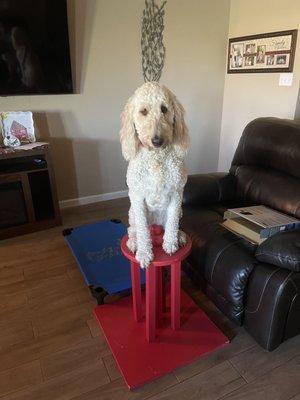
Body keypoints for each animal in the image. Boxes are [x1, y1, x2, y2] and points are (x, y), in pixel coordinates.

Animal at [120, 81, 189, 268]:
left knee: (171, 224)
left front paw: (170, 243)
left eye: (164, 109)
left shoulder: (177, 194)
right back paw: (134, 242)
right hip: (132, 213)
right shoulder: (137, 197)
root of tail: (156, 223)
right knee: (133, 229)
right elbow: (143, 231)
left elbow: (172, 222)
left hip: (179, 211)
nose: (157, 140)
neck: (156, 157)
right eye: (143, 111)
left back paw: (179, 236)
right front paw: (144, 253)